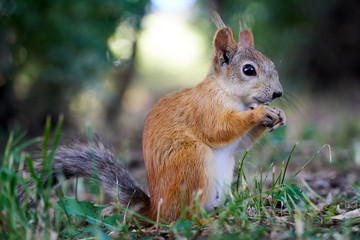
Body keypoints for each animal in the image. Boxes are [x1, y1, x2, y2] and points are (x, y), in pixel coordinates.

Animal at [20, 12, 286, 223]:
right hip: (191, 160)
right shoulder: (204, 109)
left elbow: (240, 143)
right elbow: (218, 129)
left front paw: (277, 115)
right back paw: (204, 220)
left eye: (273, 64)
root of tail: (155, 210)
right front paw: (260, 113)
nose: (278, 93)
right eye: (248, 70)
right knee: (181, 216)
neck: (229, 94)